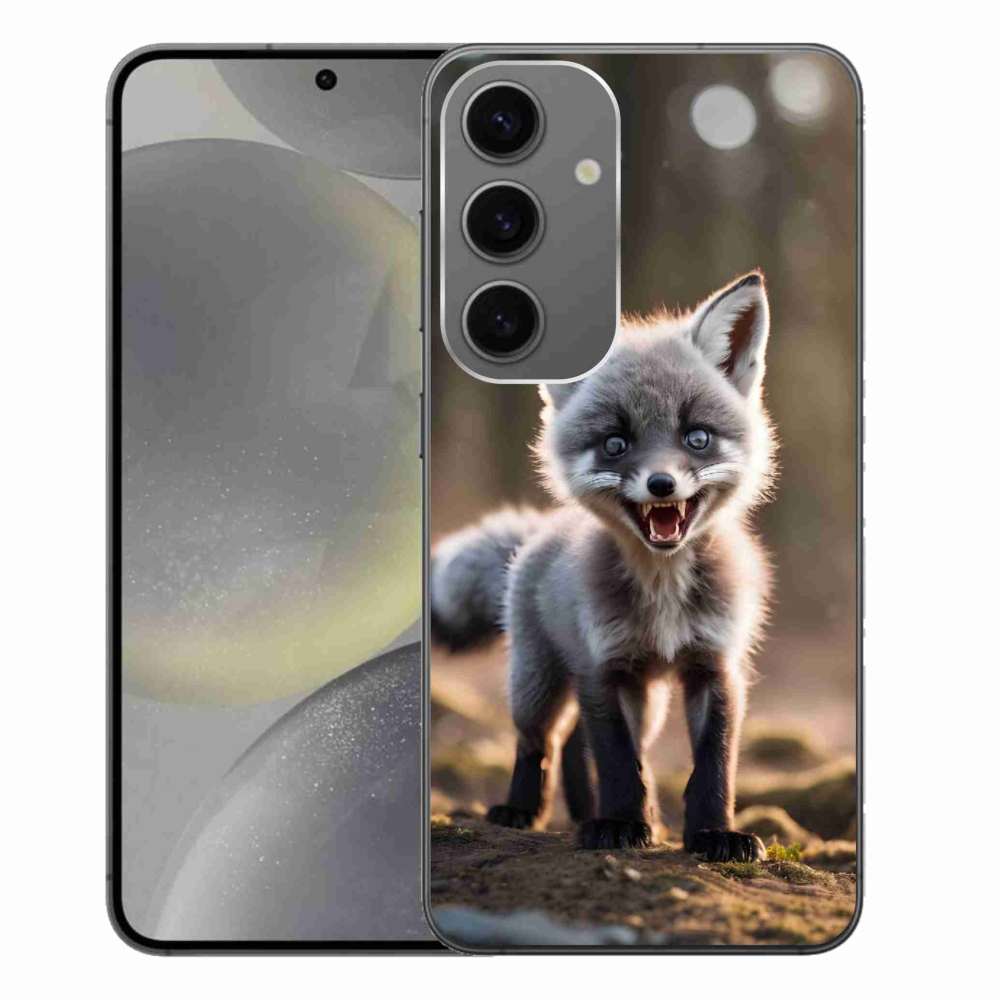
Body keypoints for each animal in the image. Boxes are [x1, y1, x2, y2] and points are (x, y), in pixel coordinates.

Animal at [431, 272, 777, 861]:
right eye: (616, 443)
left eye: (697, 437)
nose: (661, 484)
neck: (663, 594)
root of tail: (539, 533)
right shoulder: (603, 666)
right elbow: (617, 762)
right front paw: (618, 823)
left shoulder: (715, 665)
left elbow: (713, 767)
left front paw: (714, 834)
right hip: (538, 683)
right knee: (539, 741)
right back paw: (523, 809)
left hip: (647, 697)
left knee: (578, 742)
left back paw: (588, 810)